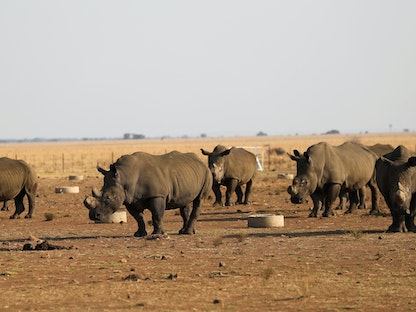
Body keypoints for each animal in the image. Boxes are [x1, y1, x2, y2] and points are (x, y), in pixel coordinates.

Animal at [82, 151, 211, 236]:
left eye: (108, 198)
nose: (94, 216)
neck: (125, 176)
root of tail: (200, 161)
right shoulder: (130, 199)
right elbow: (138, 217)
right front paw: (139, 234)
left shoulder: (157, 195)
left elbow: (157, 215)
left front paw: (158, 234)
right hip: (186, 176)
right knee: (184, 203)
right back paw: (185, 231)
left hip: (207, 173)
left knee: (199, 200)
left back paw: (188, 233)